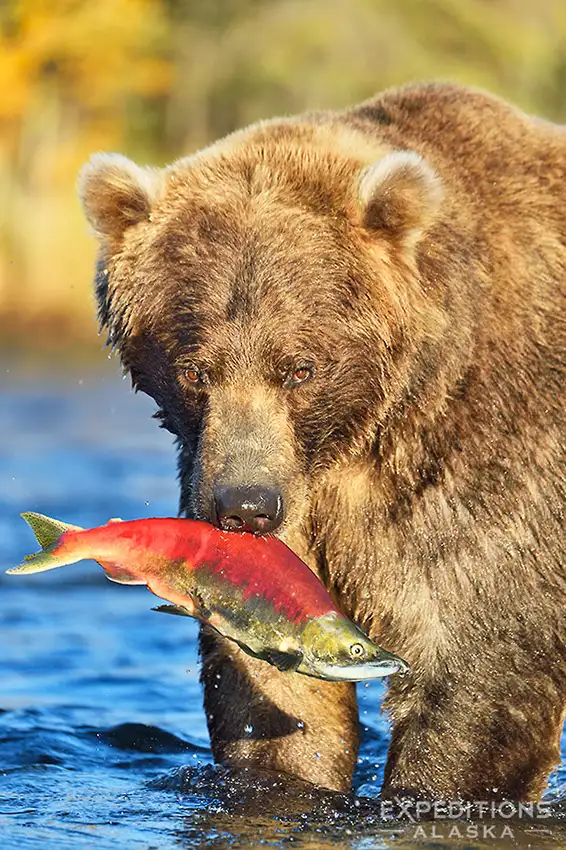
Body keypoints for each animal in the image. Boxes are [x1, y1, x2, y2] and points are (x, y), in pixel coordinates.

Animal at [79, 81, 566, 802]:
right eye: (195, 370)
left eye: (299, 367)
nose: (245, 506)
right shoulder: (279, 506)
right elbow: (276, 686)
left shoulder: (492, 461)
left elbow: (480, 666)